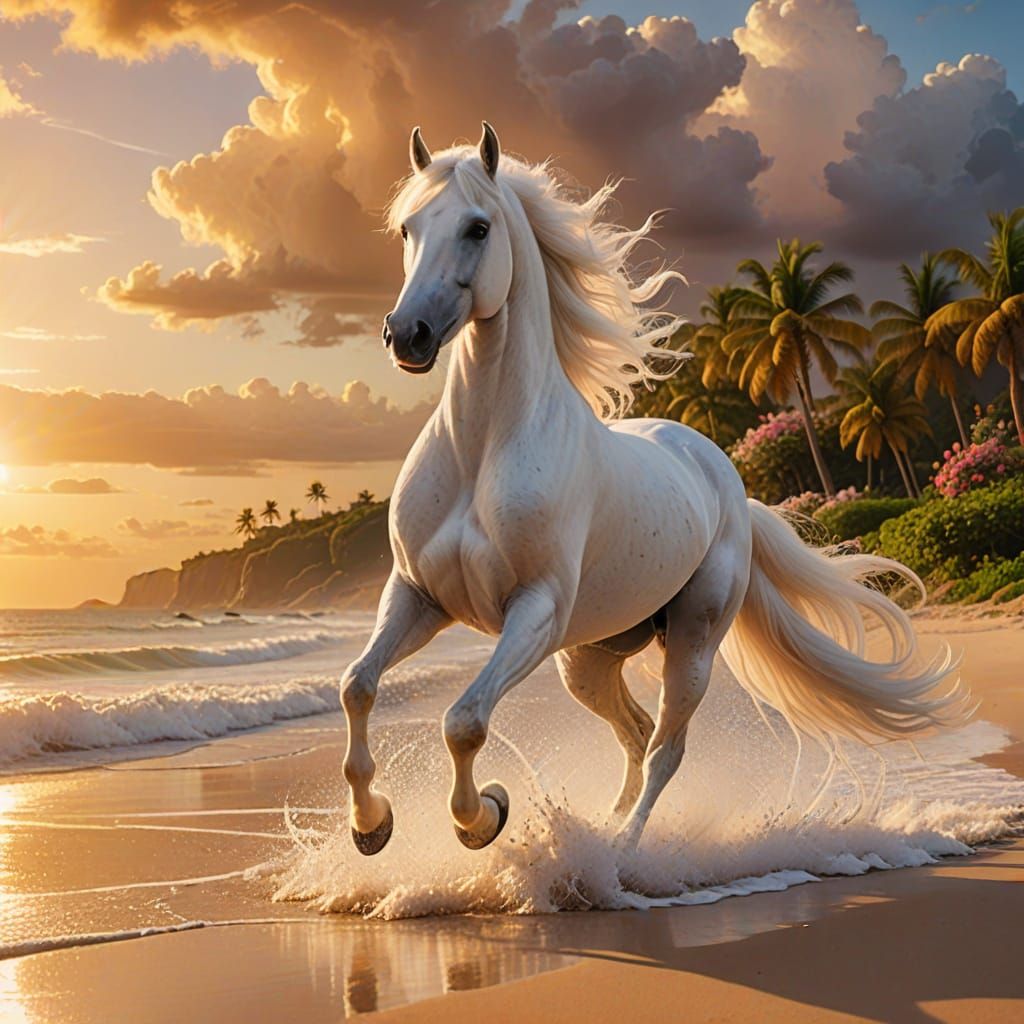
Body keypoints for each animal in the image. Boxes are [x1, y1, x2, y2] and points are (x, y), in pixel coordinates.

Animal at [340, 122, 967, 856]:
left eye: (476, 227)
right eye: (408, 228)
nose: (405, 335)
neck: (483, 451)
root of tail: (726, 478)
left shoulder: (533, 611)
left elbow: (463, 721)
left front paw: (483, 818)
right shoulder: (417, 595)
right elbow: (357, 687)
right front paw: (371, 826)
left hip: (691, 642)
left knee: (667, 748)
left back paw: (620, 854)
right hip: (586, 658)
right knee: (635, 735)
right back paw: (600, 828)